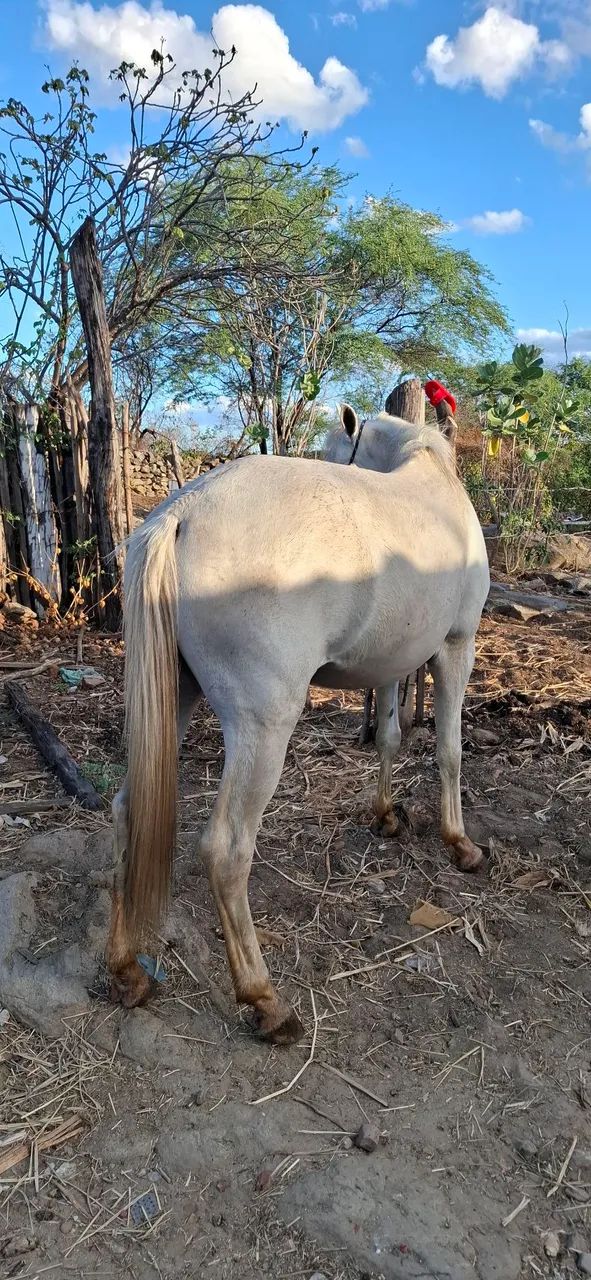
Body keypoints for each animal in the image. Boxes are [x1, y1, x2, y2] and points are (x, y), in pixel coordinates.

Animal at [106, 409, 490, 1045]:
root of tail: (182, 514)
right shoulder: (456, 647)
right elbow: (450, 752)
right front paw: (460, 843)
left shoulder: (392, 662)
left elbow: (389, 737)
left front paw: (386, 815)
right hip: (264, 729)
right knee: (227, 850)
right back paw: (266, 1002)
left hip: (174, 699)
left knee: (128, 811)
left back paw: (126, 970)